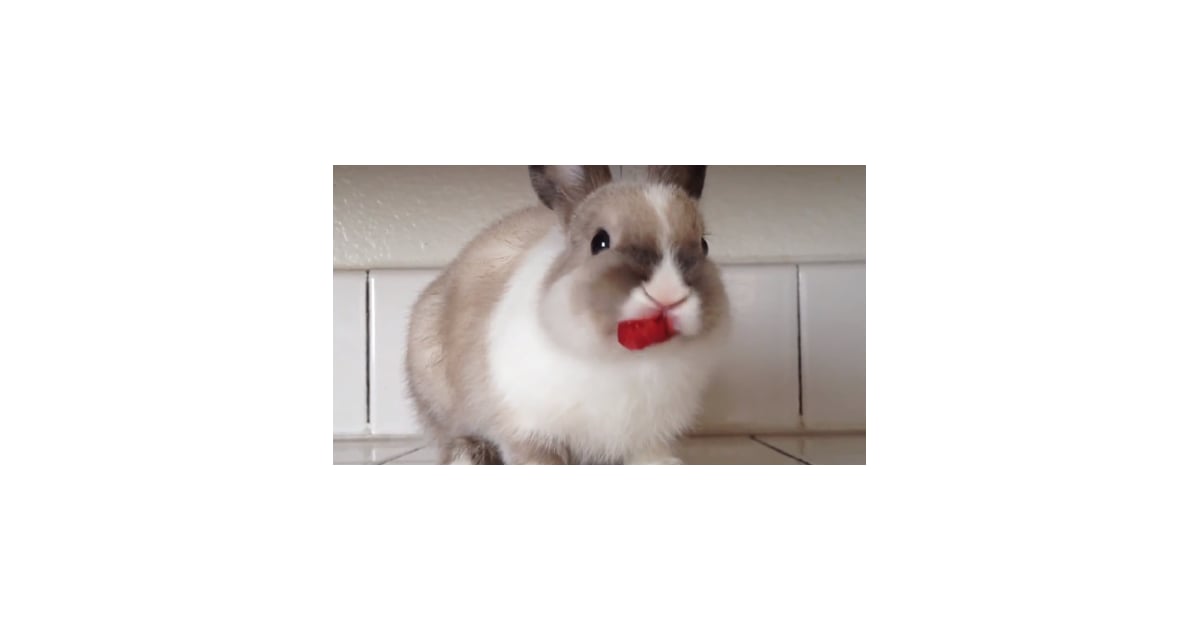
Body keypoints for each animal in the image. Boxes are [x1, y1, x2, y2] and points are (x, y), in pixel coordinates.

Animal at [404, 166, 729, 464]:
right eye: (599, 242)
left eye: (703, 245)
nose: (669, 293)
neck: (626, 359)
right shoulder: (528, 429)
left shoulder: (649, 438)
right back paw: (470, 455)